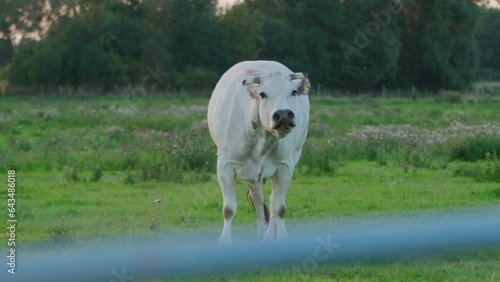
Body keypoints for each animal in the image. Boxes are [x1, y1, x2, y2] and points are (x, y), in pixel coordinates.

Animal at [206, 60, 308, 245]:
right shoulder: (225, 166)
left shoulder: (285, 167)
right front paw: (225, 241)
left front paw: (280, 238)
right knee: (258, 199)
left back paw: (267, 236)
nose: (283, 114)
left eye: (293, 92)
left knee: (271, 204)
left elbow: (279, 208)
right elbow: (229, 209)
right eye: (262, 94)